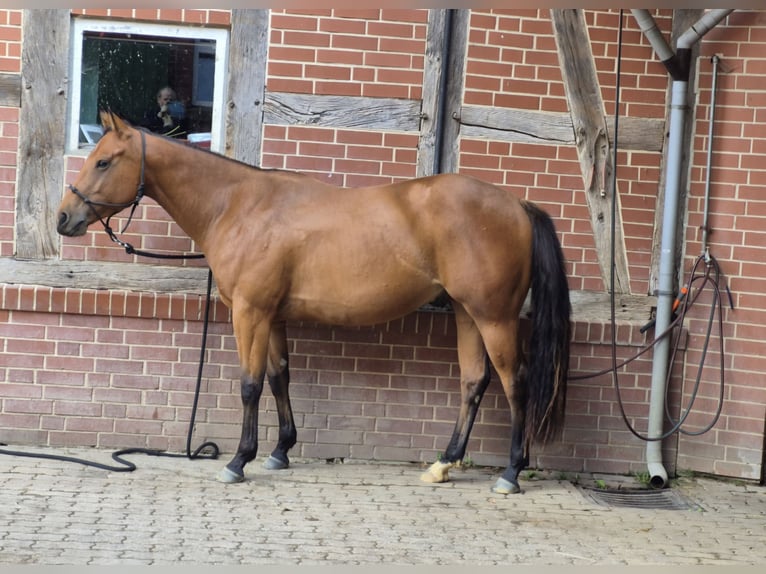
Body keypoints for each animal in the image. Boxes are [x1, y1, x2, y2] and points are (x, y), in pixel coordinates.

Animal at [57, 111, 571, 494]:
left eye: (104, 162)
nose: (64, 217)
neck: (239, 205)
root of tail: (517, 205)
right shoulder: (273, 317)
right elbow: (279, 378)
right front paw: (280, 451)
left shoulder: (250, 313)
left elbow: (250, 385)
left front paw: (239, 460)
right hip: (467, 313)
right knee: (474, 382)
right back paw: (444, 463)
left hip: (494, 317)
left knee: (516, 383)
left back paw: (510, 473)